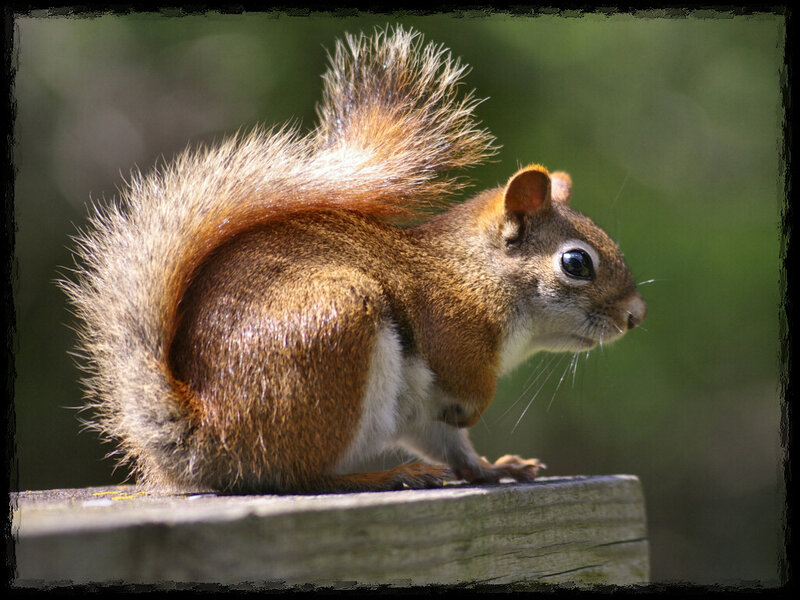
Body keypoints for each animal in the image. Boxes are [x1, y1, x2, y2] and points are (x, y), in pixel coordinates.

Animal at [61, 25, 646, 494]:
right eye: (576, 264)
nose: (635, 316)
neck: (477, 274)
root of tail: (212, 437)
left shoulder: (426, 410)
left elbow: (450, 442)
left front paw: (495, 468)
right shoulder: (451, 329)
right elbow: (463, 383)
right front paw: (479, 414)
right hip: (335, 333)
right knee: (299, 475)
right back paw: (384, 475)